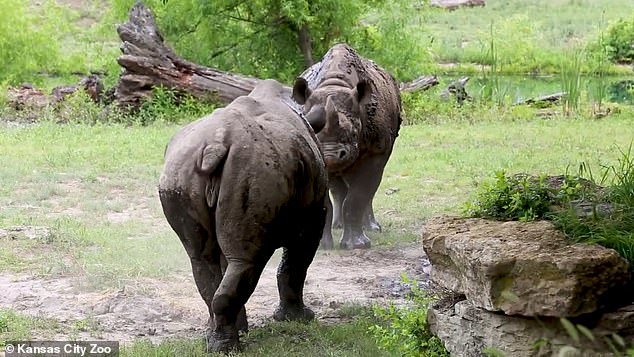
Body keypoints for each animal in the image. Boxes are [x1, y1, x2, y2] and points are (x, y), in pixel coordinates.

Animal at [157, 78, 326, 350]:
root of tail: (214, 145)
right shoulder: (313, 217)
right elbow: (296, 264)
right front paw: (299, 319)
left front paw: (246, 328)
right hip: (254, 169)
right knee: (247, 260)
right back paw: (227, 347)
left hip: (182, 170)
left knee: (205, 259)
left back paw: (215, 339)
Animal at [292, 43, 400, 249]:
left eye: (353, 132)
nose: (329, 156)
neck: (334, 85)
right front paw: (321, 245)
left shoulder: (376, 151)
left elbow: (358, 197)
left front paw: (357, 245)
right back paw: (338, 226)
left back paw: (372, 228)